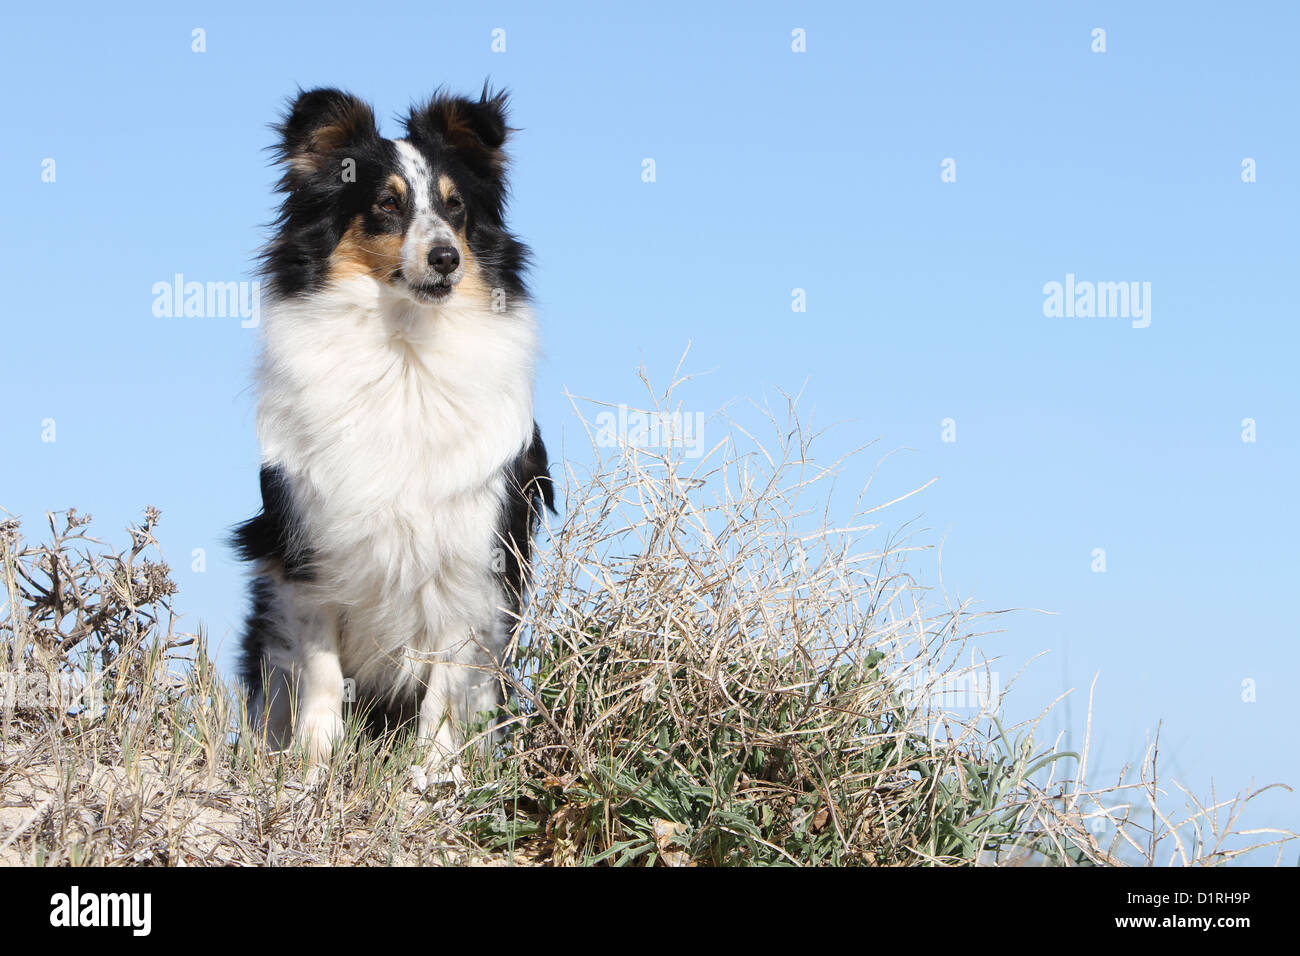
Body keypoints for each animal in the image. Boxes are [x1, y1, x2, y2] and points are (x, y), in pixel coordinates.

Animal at [233, 85, 553, 785]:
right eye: (386, 203)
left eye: (456, 206)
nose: (446, 258)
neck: (404, 348)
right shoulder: (309, 557)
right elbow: (321, 673)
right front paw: (313, 767)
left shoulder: (470, 562)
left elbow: (446, 689)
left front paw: (432, 778)